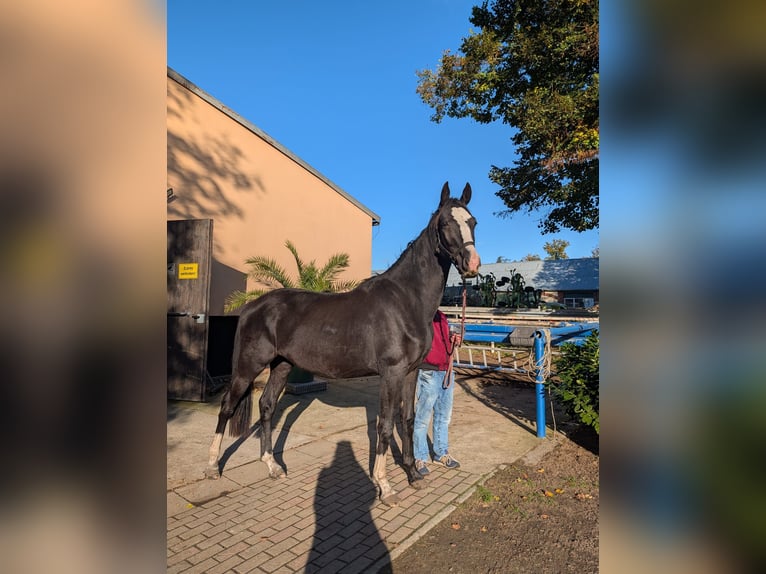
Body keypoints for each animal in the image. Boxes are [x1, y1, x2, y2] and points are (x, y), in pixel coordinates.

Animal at [206, 181, 480, 506]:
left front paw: (413, 474)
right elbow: (385, 425)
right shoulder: (391, 373)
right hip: (249, 366)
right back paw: (212, 467)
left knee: (267, 406)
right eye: (446, 223)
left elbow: (408, 419)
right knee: (227, 406)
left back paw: (272, 466)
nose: (472, 264)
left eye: (473, 222)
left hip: (282, 366)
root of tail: (251, 306)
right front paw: (385, 486)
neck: (405, 300)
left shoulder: (411, 372)